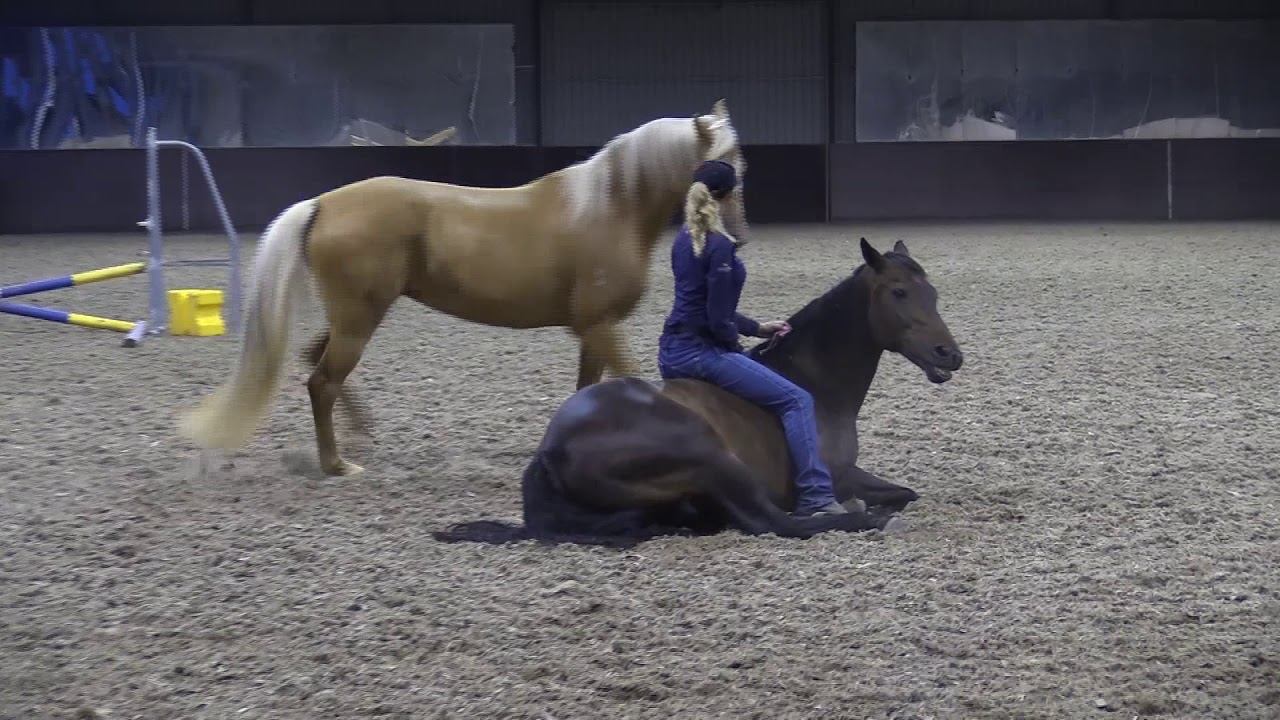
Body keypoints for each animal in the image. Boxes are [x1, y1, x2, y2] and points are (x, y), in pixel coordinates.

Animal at [177, 100, 750, 477]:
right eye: (720, 167)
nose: (736, 237)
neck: (610, 209)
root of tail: (323, 204)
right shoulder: (601, 325)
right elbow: (633, 381)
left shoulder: (592, 331)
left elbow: (588, 389)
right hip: (360, 319)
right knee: (322, 381)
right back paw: (337, 464)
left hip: (355, 317)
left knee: (316, 363)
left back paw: (360, 437)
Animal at [432, 238, 965, 547]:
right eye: (898, 292)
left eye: (934, 293)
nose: (949, 354)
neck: (815, 384)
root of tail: (551, 449)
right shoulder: (838, 476)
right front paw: (867, 509)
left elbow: (906, 492)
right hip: (713, 457)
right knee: (775, 523)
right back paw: (866, 519)